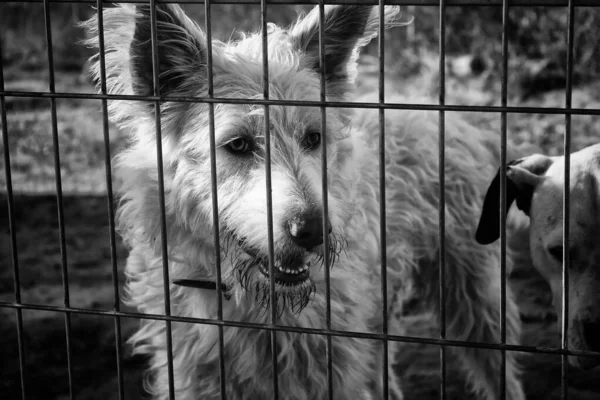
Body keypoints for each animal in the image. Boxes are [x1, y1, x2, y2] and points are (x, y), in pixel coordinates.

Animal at [83, 3, 524, 400]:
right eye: (237, 144)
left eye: (313, 137)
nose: (312, 231)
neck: (246, 295)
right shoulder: (193, 372)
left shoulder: (336, 366)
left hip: (475, 292)